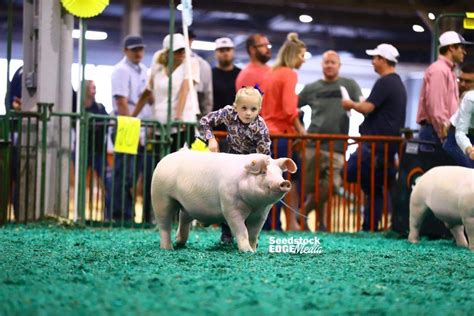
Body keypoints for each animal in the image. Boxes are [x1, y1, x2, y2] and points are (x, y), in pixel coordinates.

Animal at [150, 148, 296, 252]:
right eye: (263, 172)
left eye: (280, 173)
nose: (284, 182)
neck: (254, 205)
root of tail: (164, 159)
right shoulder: (230, 207)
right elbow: (241, 229)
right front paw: (247, 251)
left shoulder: (261, 214)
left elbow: (254, 233)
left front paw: (254, 250)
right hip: (161, 197)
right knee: (164, 224)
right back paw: (168, 248)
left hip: (187, 206)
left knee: (183, 218)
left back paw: (180, 243)